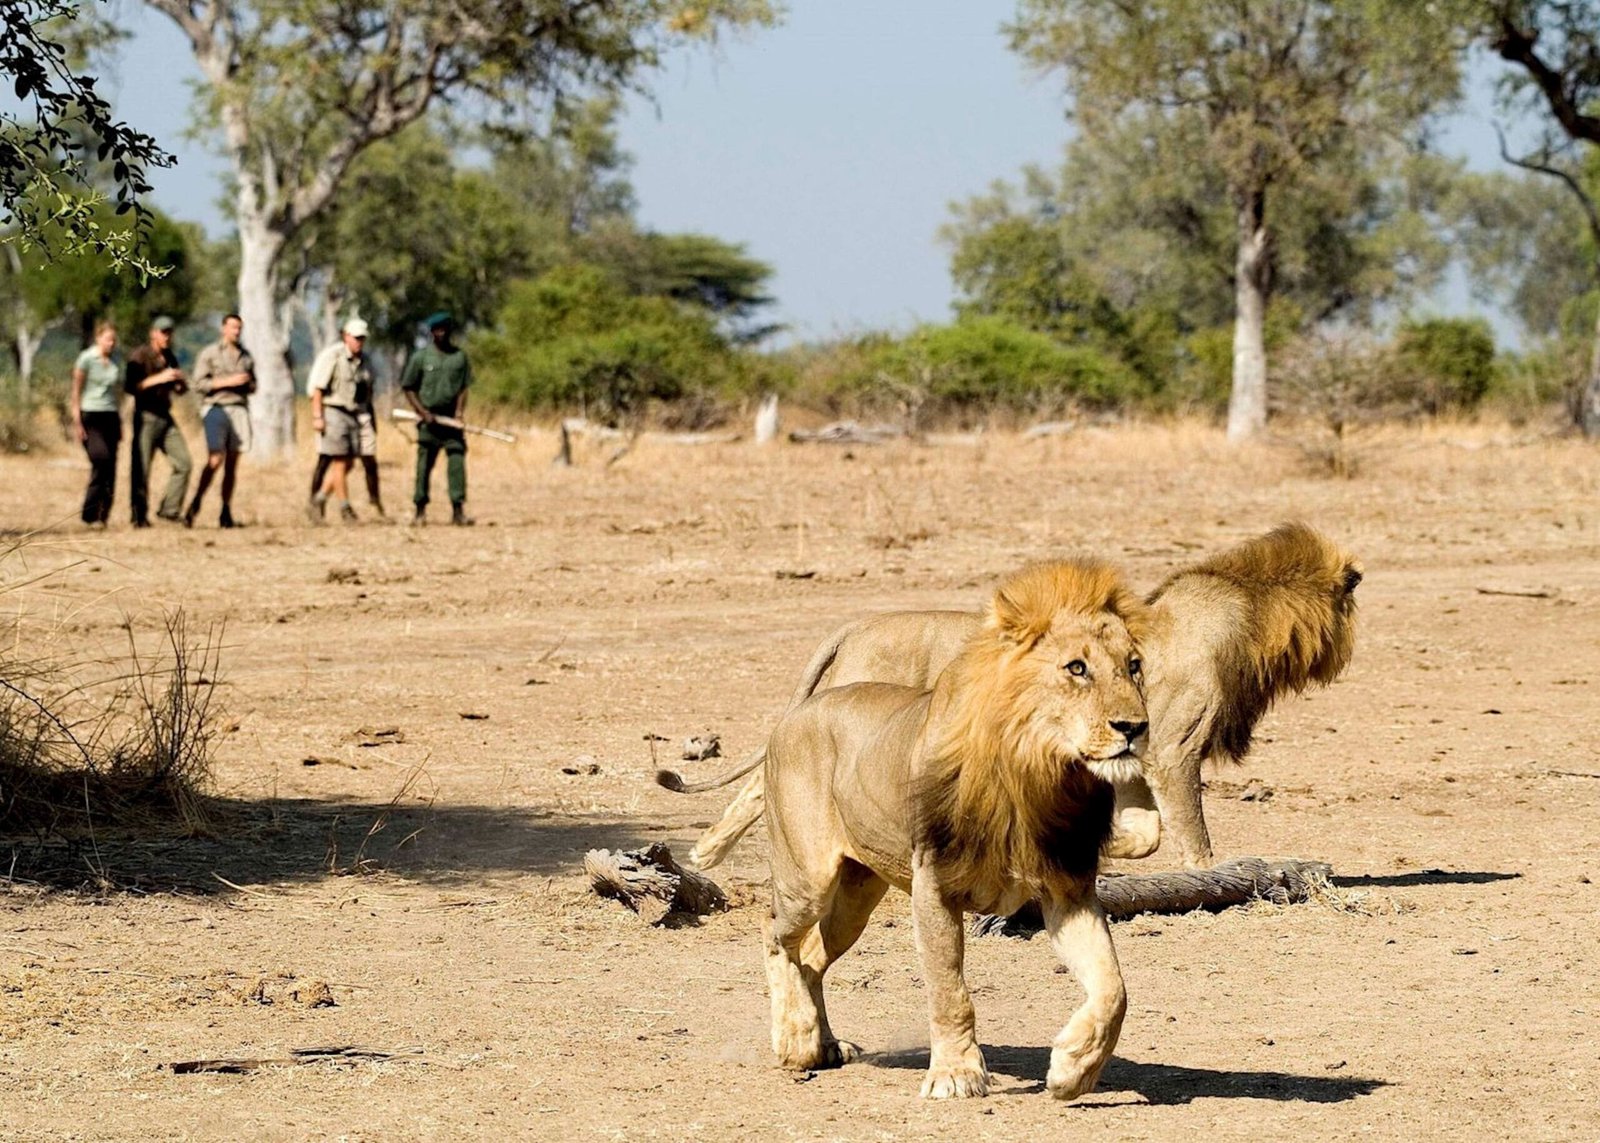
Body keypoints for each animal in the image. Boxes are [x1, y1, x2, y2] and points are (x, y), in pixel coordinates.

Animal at [656, 521, 1356, 864]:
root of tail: (856, 624)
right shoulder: (1172, 750)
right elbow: (1190, 833)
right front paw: (1207, 874)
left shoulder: (1132, 753)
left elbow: (1145, 830)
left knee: (758, 786)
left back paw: (705, 856)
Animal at [761, 560, 1152, 1094]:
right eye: (1076, 668)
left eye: (1133, 666)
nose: (1135, 728)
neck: (1035, 771)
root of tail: (794, 713)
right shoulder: (934, 885)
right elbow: (950, 990)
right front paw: (956, 1073)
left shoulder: (1067, 889)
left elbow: (1114, 987)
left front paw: (1075, 1067)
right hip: (809, 881)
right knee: (776, 937)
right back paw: (796, 1040)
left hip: (857, 896)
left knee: (813, 955)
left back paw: (824, 1045)